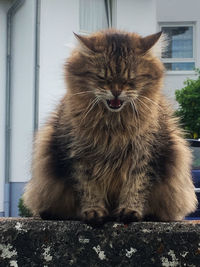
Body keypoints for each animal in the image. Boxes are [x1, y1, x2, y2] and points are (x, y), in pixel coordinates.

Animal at [23, 29, 197, 225]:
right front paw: (94, 212)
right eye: (102, 77)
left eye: (131, 79)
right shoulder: (78, 157)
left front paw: (129, 212)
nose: (116, 92)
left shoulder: (145, 155)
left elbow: (136, 186)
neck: (114, 126)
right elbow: (88, 189)